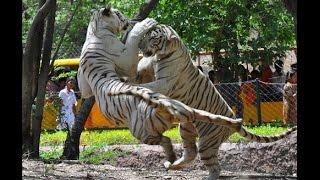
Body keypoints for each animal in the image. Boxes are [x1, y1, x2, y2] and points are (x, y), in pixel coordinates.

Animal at [134, 24, 296, 180]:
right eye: (146, 34)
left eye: (153, 38)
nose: (140, 46)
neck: (162, 54)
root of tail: (236, 122)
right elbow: (143, 70)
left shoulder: (165, 82)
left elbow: (148, 85)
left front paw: (132, 85)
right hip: (186, 128)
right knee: (190, 153)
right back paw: (171, 165)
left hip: (207, 142)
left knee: (215, 167)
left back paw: (203, 175)